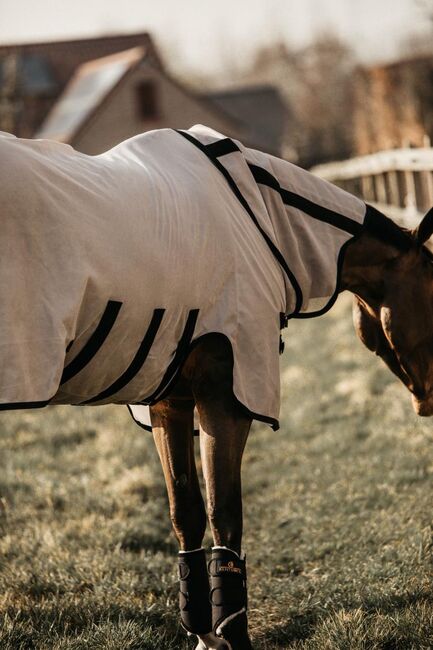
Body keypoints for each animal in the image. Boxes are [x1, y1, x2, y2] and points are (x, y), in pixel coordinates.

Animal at [151, 205, 432, 644]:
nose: (428, 399)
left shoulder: (169, 403)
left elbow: (186, 510)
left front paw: (204, 634)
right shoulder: (223, 400)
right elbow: (224, 513)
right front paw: (229, 636)